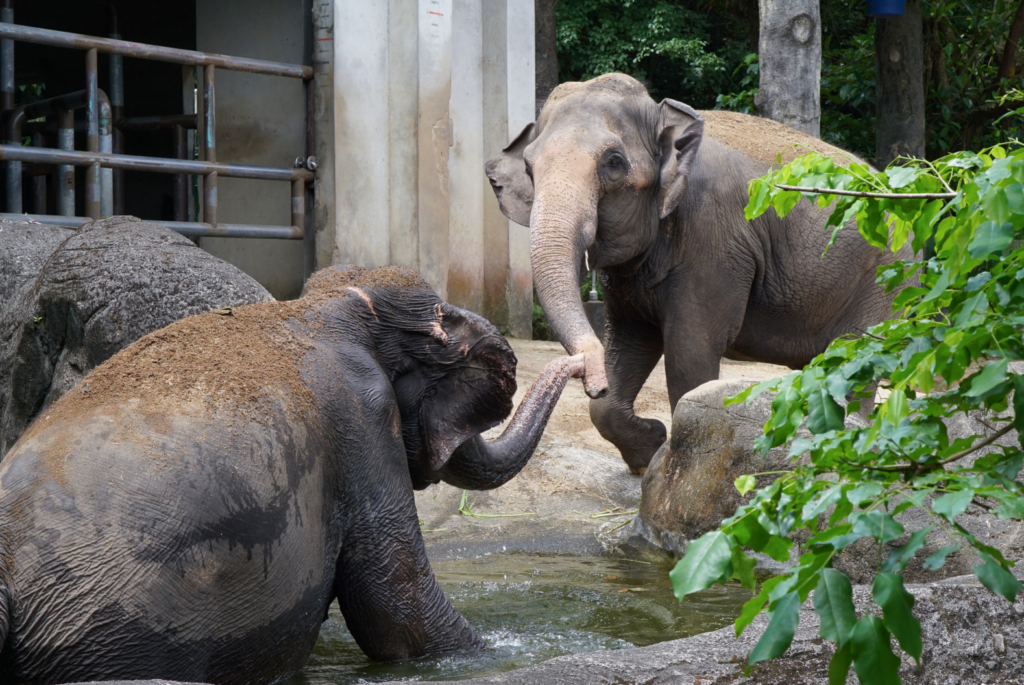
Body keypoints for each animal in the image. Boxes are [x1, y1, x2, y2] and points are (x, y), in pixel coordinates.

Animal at [486, 73, 911, 474]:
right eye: (529, 167)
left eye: (614, 162)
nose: (591, 382)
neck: (663, 114)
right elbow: (629, 341)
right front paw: (648, 452)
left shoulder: (714, 244)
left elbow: (690, 355)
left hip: (884, 281)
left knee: (852, 364)